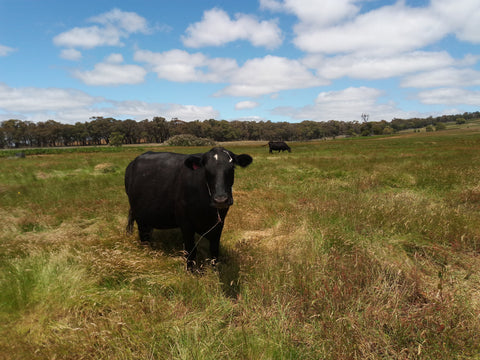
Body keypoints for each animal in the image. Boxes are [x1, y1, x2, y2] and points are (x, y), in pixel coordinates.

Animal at [124, 147, 253, 270]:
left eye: (232, 167)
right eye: (206, 169)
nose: (220, 200)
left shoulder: (219, 223)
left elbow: (214, 251)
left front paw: (215, 270)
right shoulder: (186, 224)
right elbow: (190, 251)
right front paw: (190, 271)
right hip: (139, 213)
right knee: (141, 232)